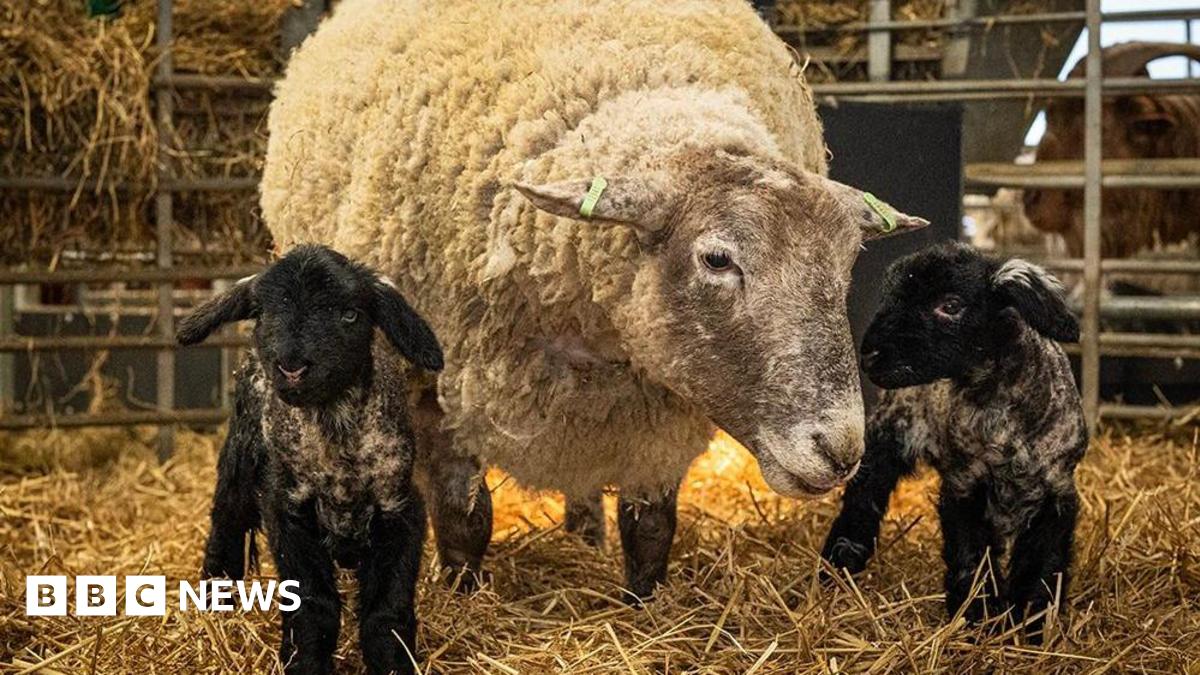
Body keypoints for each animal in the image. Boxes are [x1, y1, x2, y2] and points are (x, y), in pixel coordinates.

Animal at [176, 245, 444, 675]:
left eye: (349, 314)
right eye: (264, 313)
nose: (292, 366)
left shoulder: (401, 510)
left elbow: (385, 613)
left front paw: (394, 663)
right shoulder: (288, 511)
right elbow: (313, 608)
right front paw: (304, 662)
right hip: (241, 449)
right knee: (227, 516)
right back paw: (217, 601)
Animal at [261, 0, 927, 600]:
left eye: (846, 263)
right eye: (717, 259)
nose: (841, 451)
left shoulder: (656, 417)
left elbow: (651, 528)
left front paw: (644, 606)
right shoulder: (438, 389)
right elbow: (464, 520)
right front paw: (463, 598)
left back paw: (584, 536)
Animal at [821, 242, 1088, 642]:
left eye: (951, 304)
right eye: (890, 298)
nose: (869, 355)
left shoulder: (1055, 491)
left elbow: (1042, 565)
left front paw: (1029, 626)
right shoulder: (964, 484)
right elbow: (970, 556)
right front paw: (979, 619)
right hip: (890, 429)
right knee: (865, 493)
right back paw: (841, 559)